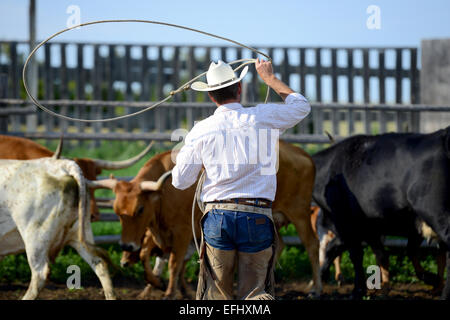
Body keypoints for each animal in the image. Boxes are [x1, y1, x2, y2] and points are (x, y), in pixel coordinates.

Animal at [92, 141, 324, 298]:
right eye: (116, 211)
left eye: (140, 209)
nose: (126, 245)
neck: (165, 191)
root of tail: (304, 154)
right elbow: (150, 256)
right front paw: (158, 285)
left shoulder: (183, 231)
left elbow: (174, 263)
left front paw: (169, 292)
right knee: (279, 246)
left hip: (299, 213)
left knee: (312, 245)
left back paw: (315, 288)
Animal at [312, 127, 450, 300]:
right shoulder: (369, 227)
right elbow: (384, 254)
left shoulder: (346, 222)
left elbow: (355, 254)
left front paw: (358, 290)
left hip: (436, 214)